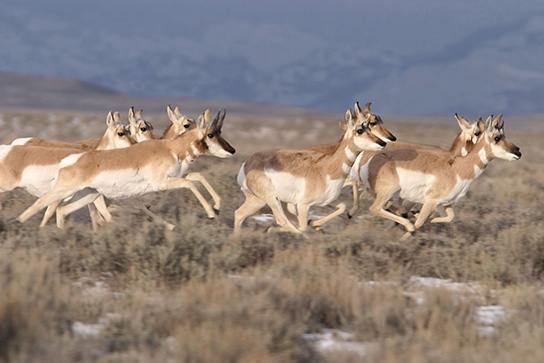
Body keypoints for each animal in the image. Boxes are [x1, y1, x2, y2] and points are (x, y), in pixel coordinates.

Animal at [18, 109, 236, 226]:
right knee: (48, 209)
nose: (232, 150)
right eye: (186, 124)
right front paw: (211, 211)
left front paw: (216, 207)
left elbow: (194, 177)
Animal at [234, 109, 386, 236]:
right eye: (359, 130)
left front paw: (315, 224)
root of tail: (247, 163)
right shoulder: (303, 205)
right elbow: (301, 227)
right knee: (283, 221)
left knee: (239, 214)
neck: (326, 169)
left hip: (258, 201)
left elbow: (342, 207)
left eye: (369, 127)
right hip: (272, 199)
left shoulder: (325, 201)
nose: (383, 143)